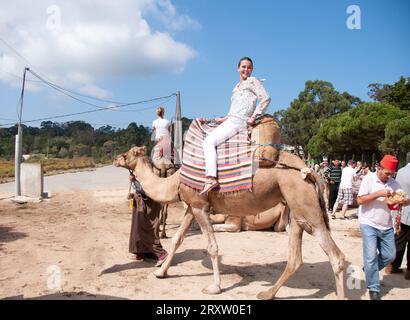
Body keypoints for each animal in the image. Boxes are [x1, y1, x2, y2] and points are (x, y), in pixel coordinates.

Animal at [113, 146, 346, 300]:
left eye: (126, 155)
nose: (115, 159)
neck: (175, 181)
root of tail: (310, 170)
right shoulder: (192, 206)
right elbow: (178, 238)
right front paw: (160, 272)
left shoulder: (201, 207)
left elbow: (212, 247)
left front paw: (214, 287)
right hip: (295, 210)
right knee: (295, 258)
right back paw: (267, 293)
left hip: (307, 207)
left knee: (336, 256)